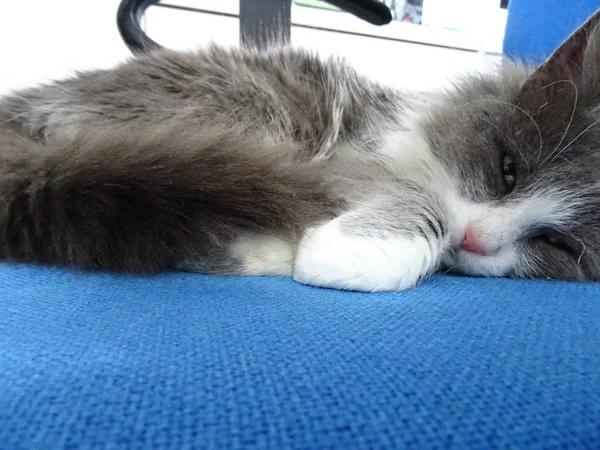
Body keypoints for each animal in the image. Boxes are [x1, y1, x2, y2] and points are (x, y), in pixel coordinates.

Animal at [1, 9, 600, 292]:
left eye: (558, 245)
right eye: (507, 170)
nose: (476, 240)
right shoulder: (355, 156)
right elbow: (421, 202)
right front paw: (358, 253)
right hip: (239, 115)